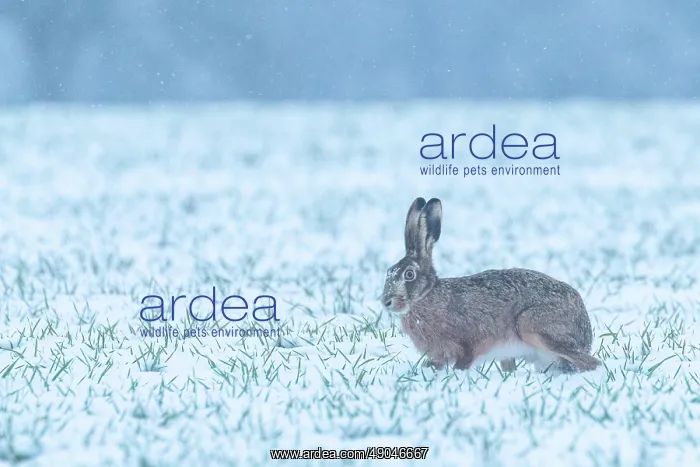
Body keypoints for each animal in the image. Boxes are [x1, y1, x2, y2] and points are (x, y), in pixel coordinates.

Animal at [380, 197, 600, 374]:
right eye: (388, 271)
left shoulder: (468, 344)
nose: (386, 302)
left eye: (409, 274)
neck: (425, 297)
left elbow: (463, 362)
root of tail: (585, 331)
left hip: (532, 326)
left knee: (591, 363)